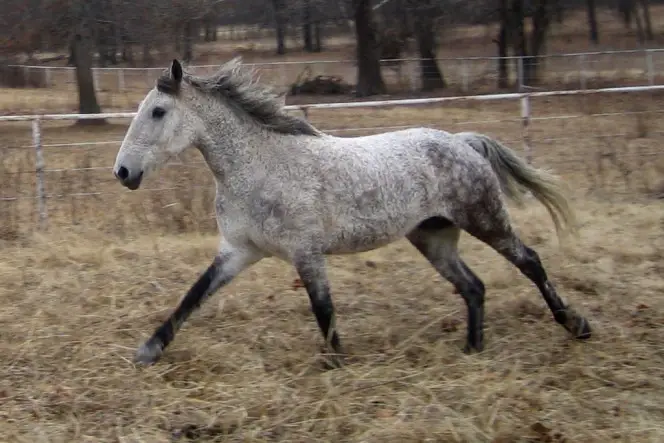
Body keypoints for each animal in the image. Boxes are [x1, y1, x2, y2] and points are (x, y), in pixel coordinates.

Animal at [110, 56, 592, 368]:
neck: (261, 166)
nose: (123, 171)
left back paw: (576, 325)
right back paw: (473, 350)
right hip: (433, 237)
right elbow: (193, 295)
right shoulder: (238, 251)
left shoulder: (306, 253)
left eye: (158, 111)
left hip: (485, 219)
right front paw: (148, 351)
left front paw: (337, 364)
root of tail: (462, 141)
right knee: (473, 287)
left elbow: (323, 308)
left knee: (530, 261)